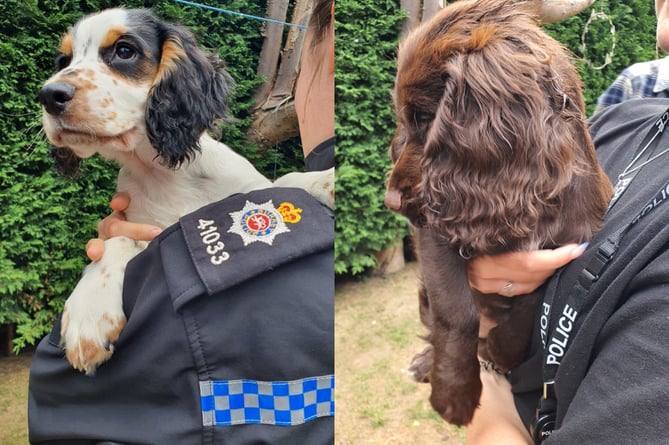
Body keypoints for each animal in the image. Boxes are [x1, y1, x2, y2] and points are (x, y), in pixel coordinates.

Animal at [39, 7, 334, 374]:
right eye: (63, 60)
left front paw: (327, 179)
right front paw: (89, 310)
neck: (164, 173)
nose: (49, 95)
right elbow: (115, 239)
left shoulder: (252, 188)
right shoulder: (138, 226)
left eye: (124, 50)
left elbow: (285, 181)